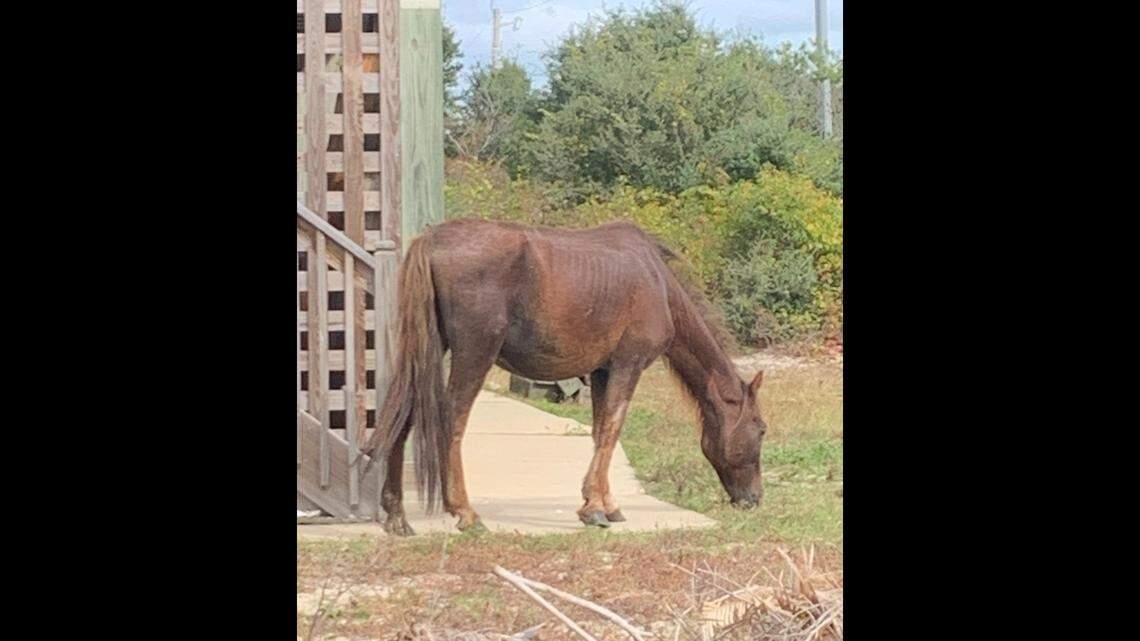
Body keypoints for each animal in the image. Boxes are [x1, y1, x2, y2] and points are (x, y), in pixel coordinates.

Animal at [361, 218, 767, 535]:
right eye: (761, 430)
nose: (754, 499)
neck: (660, 286)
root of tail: (431, 239)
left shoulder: (603, 372)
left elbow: (600, 431)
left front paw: (604, 502)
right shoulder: (628, 365)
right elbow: (612, 430)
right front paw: (595, 509)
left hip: (426, 351)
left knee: (401, 412)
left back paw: (396, 514)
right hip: (474, 355)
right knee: (452, 419)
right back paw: (465, 511)